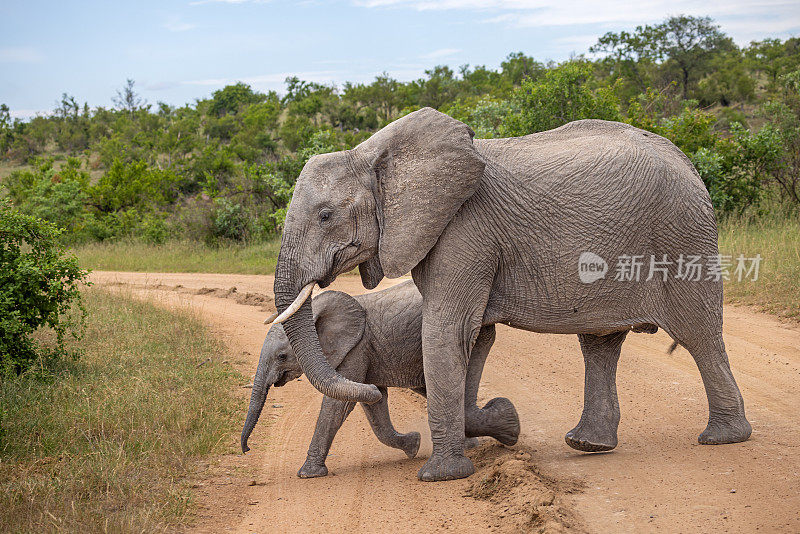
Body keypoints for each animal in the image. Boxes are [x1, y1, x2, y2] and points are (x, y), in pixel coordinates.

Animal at [242, 282, 520, 480]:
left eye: (282, 356)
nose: (245, 450)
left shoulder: (357, 348)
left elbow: (338, 406)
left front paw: (308, 474)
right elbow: (374, 408)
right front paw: (412, 445)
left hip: (472, 337)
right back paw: (476, 441)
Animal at [272, 107, 752, 484]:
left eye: (326, 215)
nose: (374, 389)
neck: (373, 155)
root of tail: (686, 159)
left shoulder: (465, 231)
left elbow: (448, 332)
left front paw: (442, 473)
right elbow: (476, 337)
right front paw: (500, 425)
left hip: (682, 235)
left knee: (698, 334)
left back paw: (723, 438)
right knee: (600, 344)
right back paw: (588, 444)